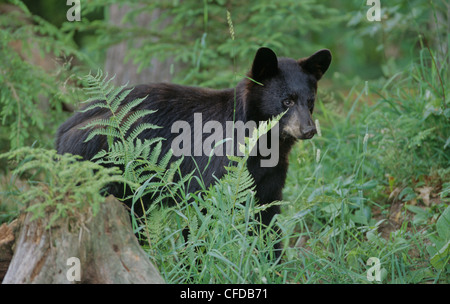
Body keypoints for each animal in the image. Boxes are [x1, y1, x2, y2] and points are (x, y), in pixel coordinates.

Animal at [55, 48, 330, 254]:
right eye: (286, 101)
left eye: (310, 101)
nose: (308, 130)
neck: (264, 144)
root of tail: (62, 131)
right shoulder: (212, 168)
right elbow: (200, 217)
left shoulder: (270, 177)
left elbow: (267, 220)